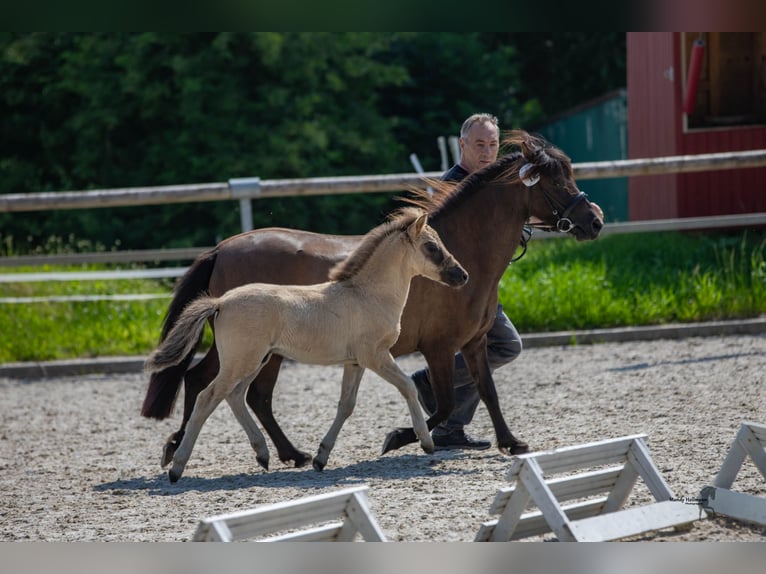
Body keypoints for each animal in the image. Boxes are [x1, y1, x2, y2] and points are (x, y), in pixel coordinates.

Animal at [143, 209, 468, 484]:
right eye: (431, 247)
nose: (462, 275)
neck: (367, 295)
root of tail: (220, 302)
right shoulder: (375, 356)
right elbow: (408, 387)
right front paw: (426, 442)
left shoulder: (354, 362)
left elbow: (346, 405)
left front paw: (321, 458)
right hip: (241, 361)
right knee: (208, 396)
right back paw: (177, 467)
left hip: (256, 360)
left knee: (235, 396)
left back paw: (263, 454)